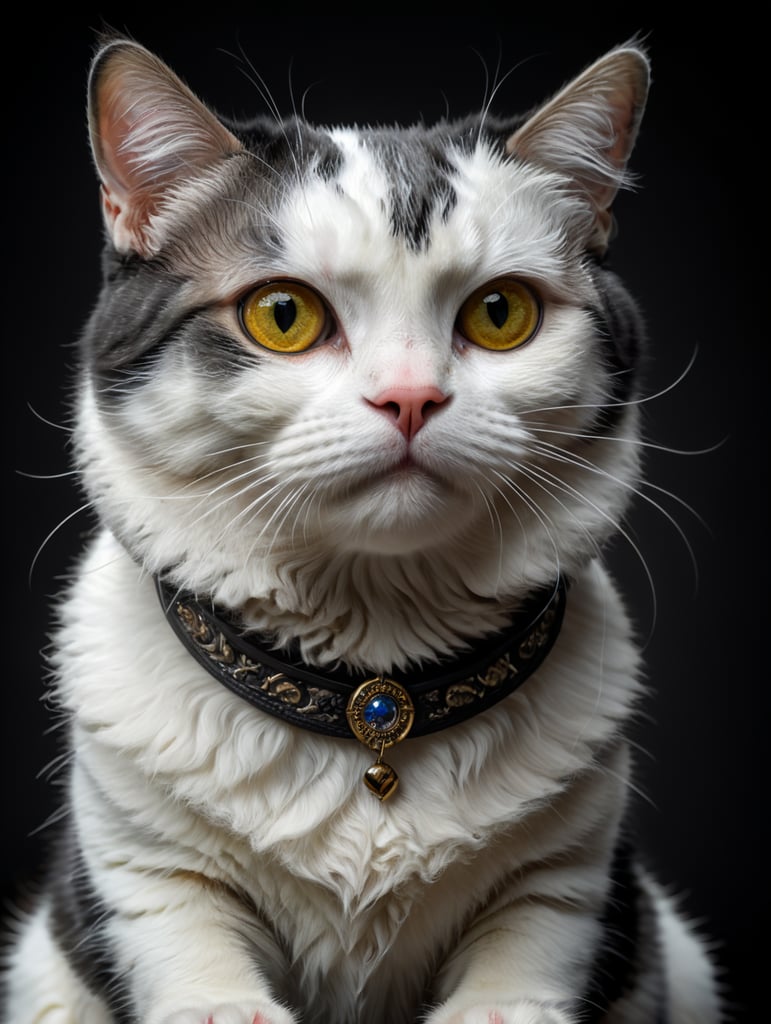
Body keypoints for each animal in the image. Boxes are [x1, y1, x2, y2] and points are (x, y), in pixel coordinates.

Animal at [1, 29, 720, 1024]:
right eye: (282, 315)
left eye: (500, 313)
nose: (410, 397)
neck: (372, 695)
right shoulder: (142, 868)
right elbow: (188, 955)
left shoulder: (568, 882)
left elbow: (525, 962)